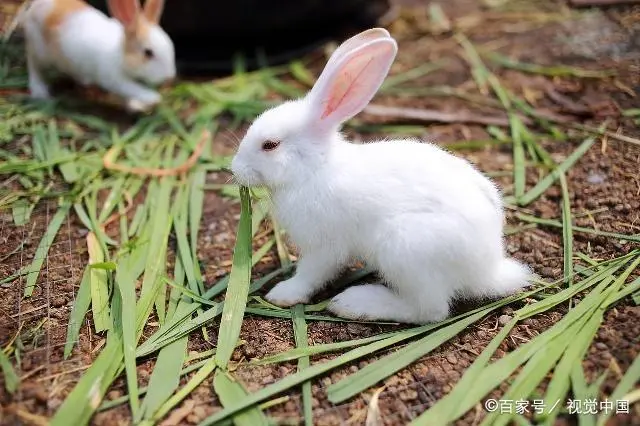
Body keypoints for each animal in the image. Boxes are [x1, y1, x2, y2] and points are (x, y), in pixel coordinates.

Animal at [21, 0, 175, 111]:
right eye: (148, 53)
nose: (169, 78)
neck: (120, 53)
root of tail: (35, 6)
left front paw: (137, 105)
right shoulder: (114, 79)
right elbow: (132, 88)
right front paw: (153, 98)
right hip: (40, 52)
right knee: (33, 64)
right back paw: (40, 92)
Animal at [230, 28, 528, 324]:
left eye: (270, 145)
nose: (235, 169)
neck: (315, 168)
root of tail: (489, 270)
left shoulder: (325, 245)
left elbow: (312, 273)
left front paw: (282, 294)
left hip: (405, 250)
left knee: (430, 310)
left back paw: (355, 303)